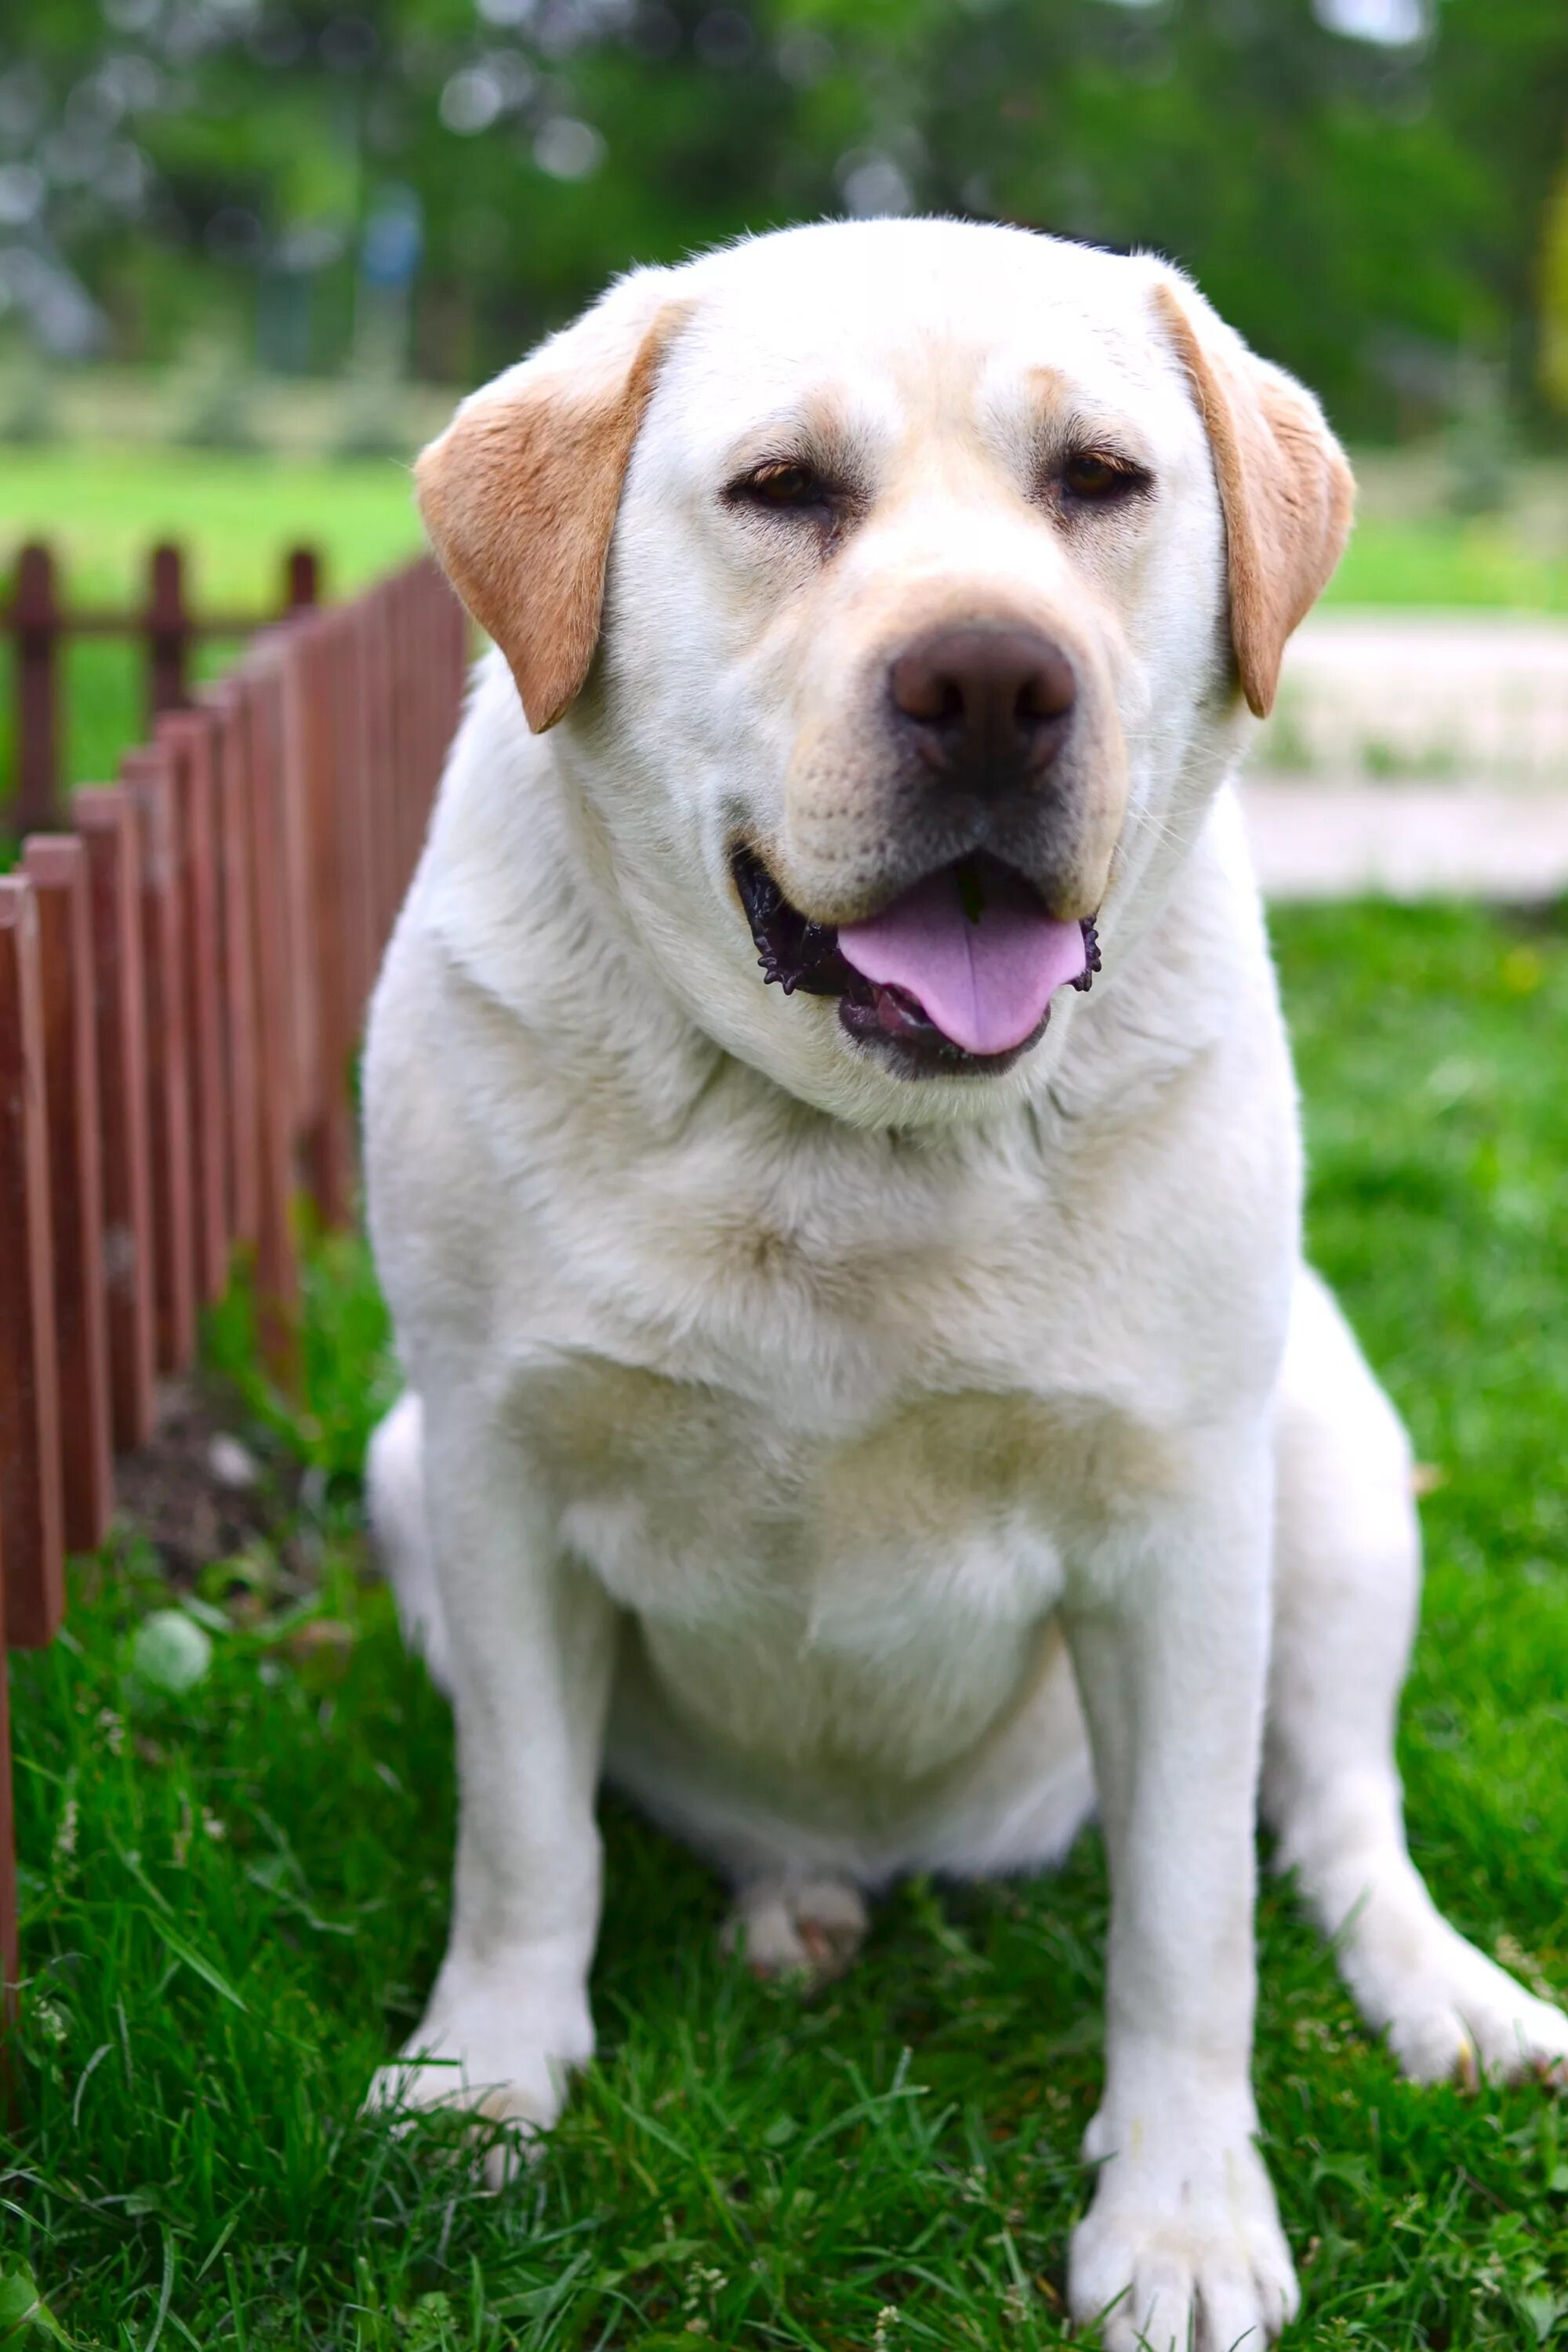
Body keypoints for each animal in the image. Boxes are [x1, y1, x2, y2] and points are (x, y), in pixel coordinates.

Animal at [359, 221, 1568, 2352]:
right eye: (781, 490)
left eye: (1098, 480)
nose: (993, 680)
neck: (848, 1141)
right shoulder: (493, 1469)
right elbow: (525, 1836)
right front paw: (484, 2080)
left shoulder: (1179, 1531)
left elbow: (1187, 1919)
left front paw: (1181, 2219)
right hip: (396, 1466)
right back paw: (792, 1902)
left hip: (1330, 1455)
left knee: (1335, 1819)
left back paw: (1450, 1997)